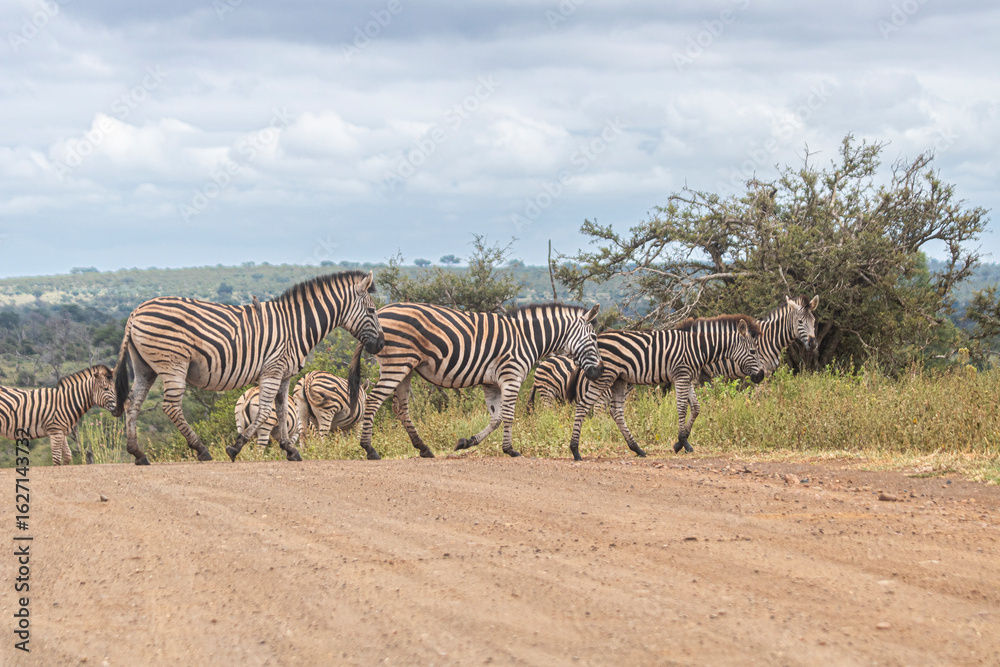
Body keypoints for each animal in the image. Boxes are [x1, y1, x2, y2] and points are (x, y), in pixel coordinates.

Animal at [111, 270, 385, 465]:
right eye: (372, 310)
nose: (381, 344)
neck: (296, 326)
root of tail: (135, 312)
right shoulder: (272, 370)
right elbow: (265, 411)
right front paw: (236, 447)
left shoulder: (284, 375)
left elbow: (283, 411)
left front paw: (290, 450)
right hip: (173, 363)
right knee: (170, 406)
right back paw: (201, 450)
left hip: (145, 367)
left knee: (132, 403)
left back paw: (138, 453)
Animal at [348, 302, 603, 460]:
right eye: (593, 338)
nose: (599, 371)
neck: (527, 338)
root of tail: (379, 312)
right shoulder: (511, 376)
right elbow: (508, 415)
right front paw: (510, 450)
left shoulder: (491, 383)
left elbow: (496, 418)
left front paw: (466, 442)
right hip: (397, 364)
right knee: (373, 401)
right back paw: (370, 449)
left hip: (405, 367)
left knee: (400, 408)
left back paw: (424, 448)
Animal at [568, 315, 764, 461]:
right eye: (753, 352)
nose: (761, 376)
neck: (699, 348)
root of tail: (597, 338)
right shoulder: (681, 375)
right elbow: (682, 407)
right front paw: (683, 442)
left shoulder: (688, 377)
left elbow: (696, 407)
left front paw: (679, 443)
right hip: (605, 376)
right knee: (584, 405)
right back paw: (575, 450)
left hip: (619, 379)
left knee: (616, 411)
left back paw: (637, 449)